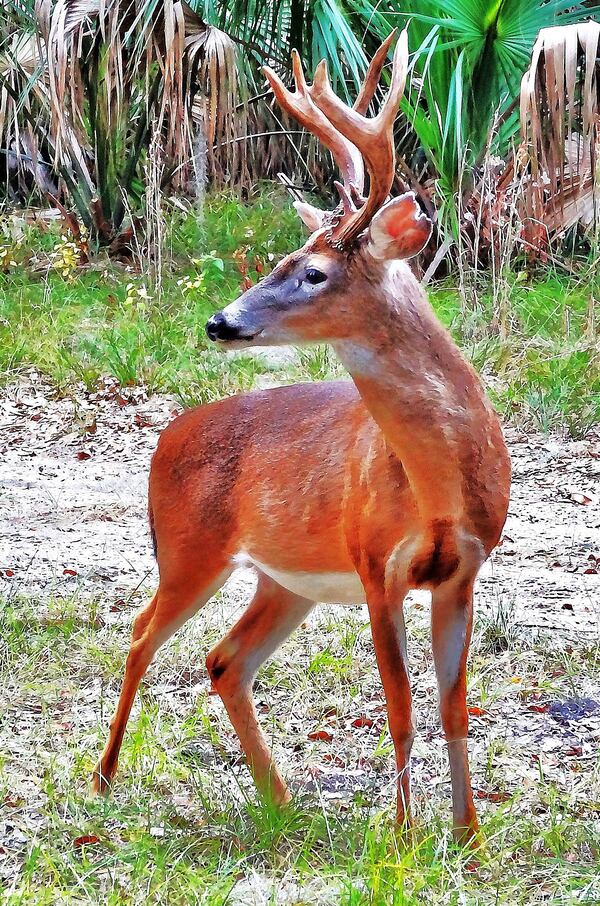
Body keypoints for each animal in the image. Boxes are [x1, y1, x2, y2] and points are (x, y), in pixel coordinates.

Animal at [94, 30, 510, 848]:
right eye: (283, 262)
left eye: (313, 271)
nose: (220, 322)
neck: (438, 487)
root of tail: (165, 439)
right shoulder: (376, 563)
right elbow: (401, 705)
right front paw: (405, 835)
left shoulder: (464, 570)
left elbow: (453, 707)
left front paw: (470, 837)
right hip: (189, 550)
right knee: (140, 635)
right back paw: (104, 778)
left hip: (283, 579)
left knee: (224, 659)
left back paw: (280, 800)